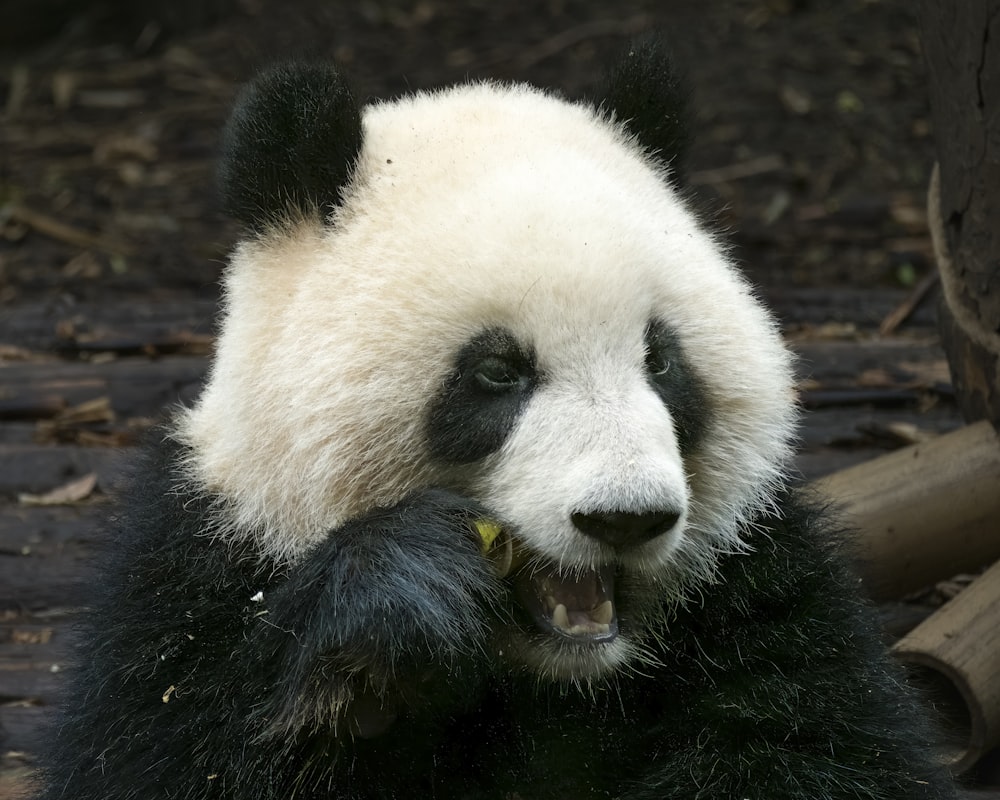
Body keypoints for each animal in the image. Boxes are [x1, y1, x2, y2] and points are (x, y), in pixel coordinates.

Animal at [39, 42, 956, 800]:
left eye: (660, 360)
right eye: (497, 372)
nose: (625, 519)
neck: (558, 677)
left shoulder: (763, 581)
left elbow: (826, 749)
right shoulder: (203, 564)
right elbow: (164, 753)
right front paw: (400, 599)